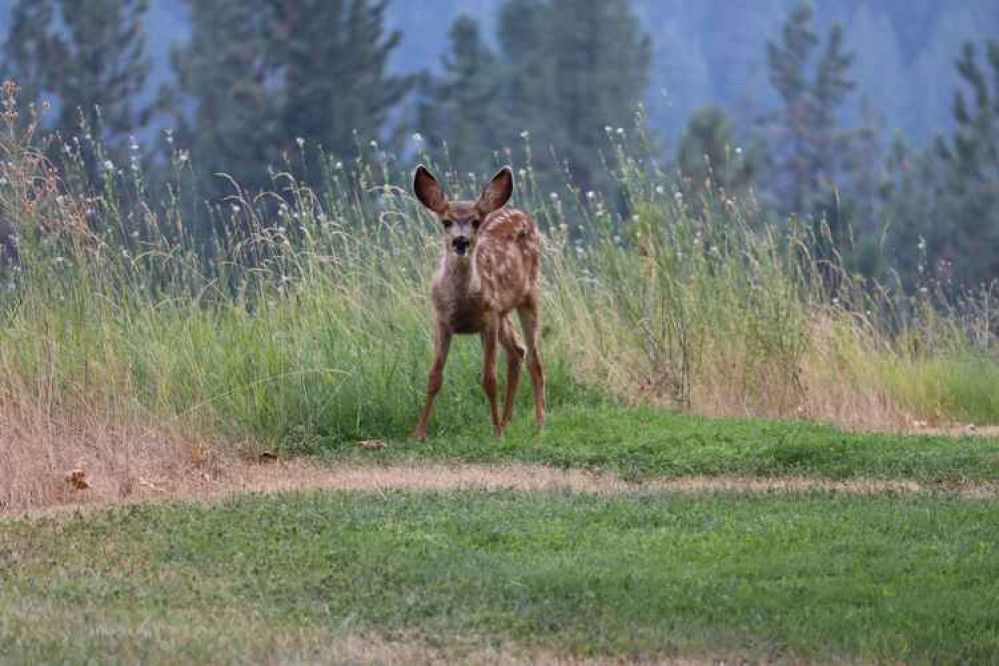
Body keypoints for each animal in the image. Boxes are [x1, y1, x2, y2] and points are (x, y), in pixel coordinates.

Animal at [411, 165, 545, 441]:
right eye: (446, 221)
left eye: (475, 222)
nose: (461, 241)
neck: (462, 302)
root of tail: (520, 213)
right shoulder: (441, 319)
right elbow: (434, 377)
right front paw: (418, 433)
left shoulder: (488, 319)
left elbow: (489, 379)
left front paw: (495, 432)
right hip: (503, 311)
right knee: (517, 351)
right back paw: (507, 421)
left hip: (528, 295)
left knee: (534, 359)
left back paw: (538, 423)